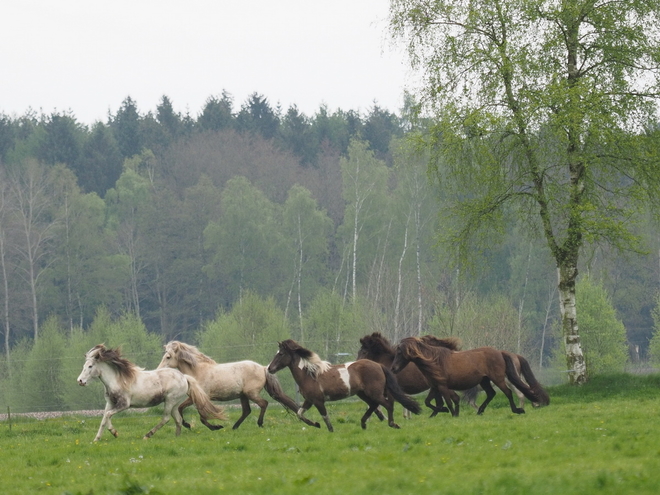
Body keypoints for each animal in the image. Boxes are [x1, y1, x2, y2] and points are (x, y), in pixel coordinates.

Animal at [76, 344, 227, 442]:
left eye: (90, 366)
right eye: (84, 365)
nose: (80, 381)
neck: (117, 380)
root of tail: (184, 377)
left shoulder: (124, 405)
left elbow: (107, 416)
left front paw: (115, 433)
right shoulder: (110, 403)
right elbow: (104, 418)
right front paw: (96, 439)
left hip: (169, 401)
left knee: (166, 418)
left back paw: (147, 435)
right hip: (174, 404)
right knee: (178, 419)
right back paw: (177, 437)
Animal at [156, 340, 300, 430]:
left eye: (168, 357)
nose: (158, 370)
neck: (197, 371)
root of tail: (264, 368)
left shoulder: (199, 397)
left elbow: (201, 416)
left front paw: (215, 427)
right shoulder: (194, 397)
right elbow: (181, 409)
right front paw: (188, 425)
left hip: (251, 394)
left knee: (263, 404)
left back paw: (259, 424)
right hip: (243, 395)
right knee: (247, 410)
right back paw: (234, 427)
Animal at [266, 340, 420, 432]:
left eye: (281, 354)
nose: (270, 369)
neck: (310, 374)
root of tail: (379, 365)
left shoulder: (318, 401)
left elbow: (325, 416)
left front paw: (330, 430)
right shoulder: (309, 400)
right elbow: (299, 414)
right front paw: (315, 424)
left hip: (374, 393)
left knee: (387, 405)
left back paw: (392, 424)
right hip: (363, 393)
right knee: (374, 405)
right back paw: (363, 424)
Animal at [390, 338, 540, 418]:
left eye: (400, 352)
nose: (393, 369)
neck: (434, 361)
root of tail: (500, 352)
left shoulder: (443, 386)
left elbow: (449, 401)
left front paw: (453, 414)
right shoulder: (435, 386)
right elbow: (428, 402)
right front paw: (445, 412)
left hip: (498, 379)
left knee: (508, 393)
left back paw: (518, 410)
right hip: (485, 381)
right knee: (491, 394)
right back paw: (480, 411)